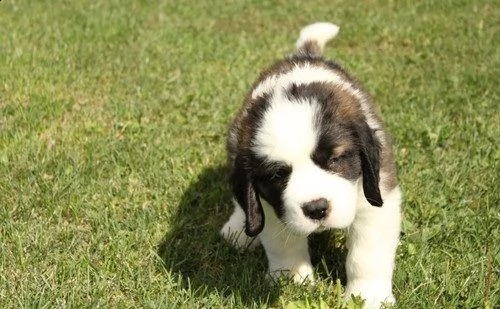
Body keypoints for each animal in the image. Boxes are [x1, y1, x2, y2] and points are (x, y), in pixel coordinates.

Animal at [221, 22, 400, 308]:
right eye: (277, 175)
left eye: (335, 160)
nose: (317, 209)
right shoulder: (272, 206)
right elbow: (283, 246)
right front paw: (292, 282)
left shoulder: (377, 193)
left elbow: (367, 254)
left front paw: (367, 297)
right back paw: (238, 228)